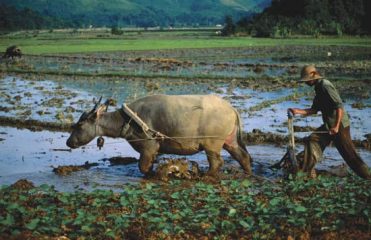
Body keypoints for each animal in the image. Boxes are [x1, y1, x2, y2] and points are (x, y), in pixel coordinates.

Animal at [67, 94, 253, 175]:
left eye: (80, 125)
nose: (68, 142)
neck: (129, 120)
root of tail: (231, 108)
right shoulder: (154, 151)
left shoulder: (148, 148)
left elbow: (143, 167)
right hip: (230, 142)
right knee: (243, 157)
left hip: (212, 144)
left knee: (217, 163)